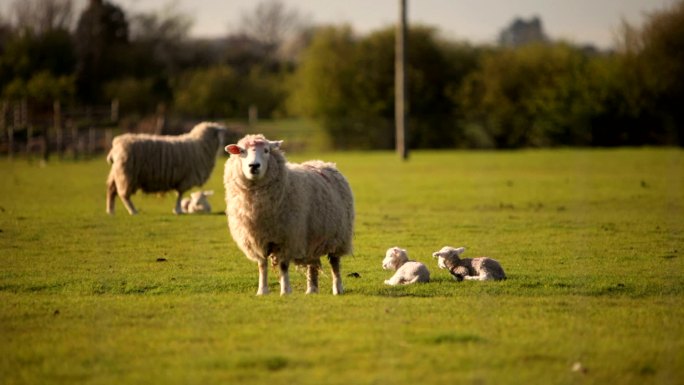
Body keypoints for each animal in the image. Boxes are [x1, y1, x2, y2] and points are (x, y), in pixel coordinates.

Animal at [224, 134, 356, 296]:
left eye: (266, 150)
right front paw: (262, 291)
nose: (254, 166)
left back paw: (337, 288)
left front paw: (285, 291)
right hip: (311, 237)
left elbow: (283, 266)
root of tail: (324, 163)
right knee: (312, 263)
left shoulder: (287, 238)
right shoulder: (257, 240)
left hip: (338, 236)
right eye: (242, 151)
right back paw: (311, 289)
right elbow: (262, 265)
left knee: (335, 263)